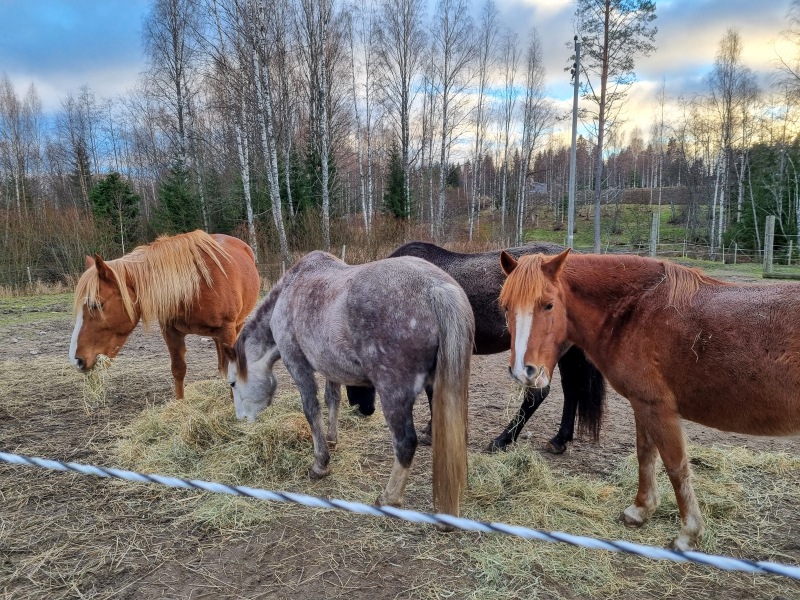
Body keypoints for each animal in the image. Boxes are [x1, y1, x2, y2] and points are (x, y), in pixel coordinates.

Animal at [70, 230, 260, 399]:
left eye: (96, 304)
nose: (77, 360)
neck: (195, 286)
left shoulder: (227, 330)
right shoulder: (171, 332)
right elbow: (178, 369)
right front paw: (180, 404)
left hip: (237, 325)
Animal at [224, 250, 473, 518]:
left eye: (232, 383)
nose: (242, 419)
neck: (290, 290)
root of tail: (436, 288)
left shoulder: (297, 363)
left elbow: (311, 410)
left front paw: (320, 465)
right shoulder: (330, 366)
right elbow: (332, 400)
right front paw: (332, 440)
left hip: (393, 393)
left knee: (405, 442)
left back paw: (389, 498)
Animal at [498, 248, 800, 550]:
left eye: (548, 305)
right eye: (505, 307)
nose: (523, 371)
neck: (636, 311)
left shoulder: (658, 409)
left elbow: (676, 468)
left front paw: (688, 534)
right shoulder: (642, 404)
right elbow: (646, 455)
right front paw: (641, 510)